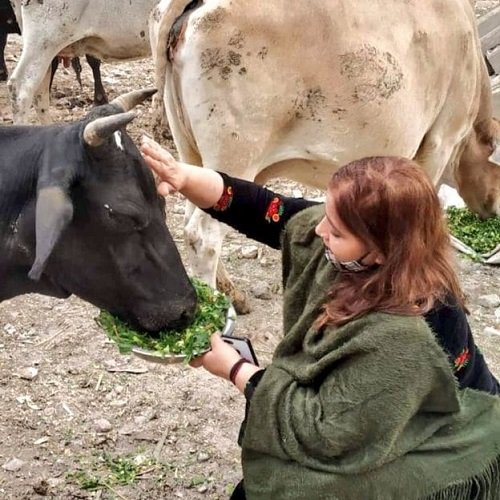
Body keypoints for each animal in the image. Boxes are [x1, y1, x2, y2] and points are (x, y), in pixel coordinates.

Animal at [150, 0, 500, 312]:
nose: (494, 208)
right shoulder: (440, 142)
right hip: (237, 150)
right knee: (202, 235)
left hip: (191, 151)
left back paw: (231, 295)